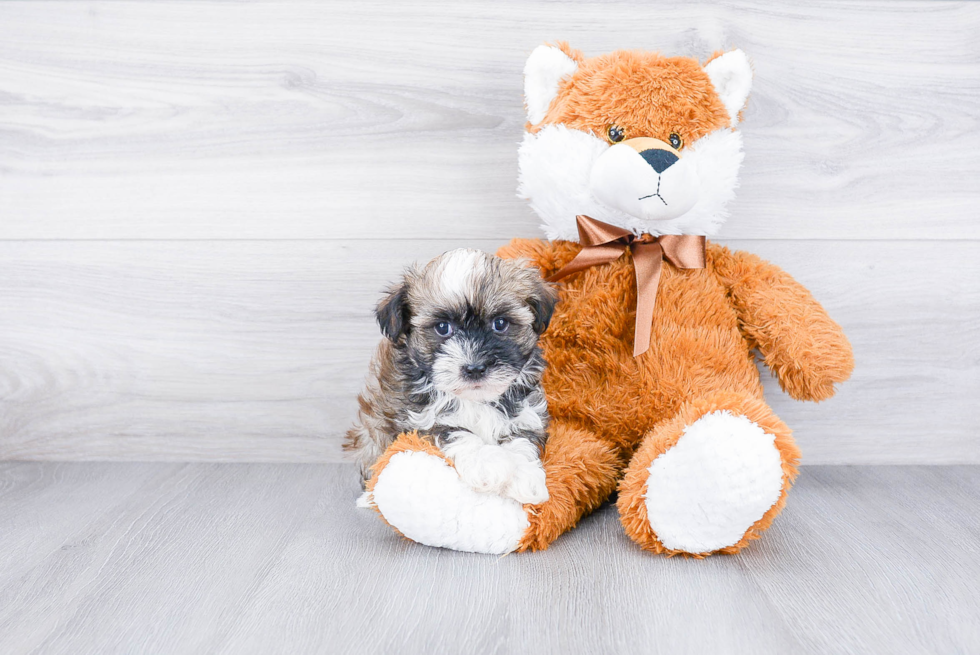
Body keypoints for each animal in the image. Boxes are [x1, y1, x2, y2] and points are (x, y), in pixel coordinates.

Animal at [346, 249, 560, 504]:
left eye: (500, 323)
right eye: (442, 327)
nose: (475, 368)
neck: (476, 400)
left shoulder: (527, 412)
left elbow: (522, 438)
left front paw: (524, 476)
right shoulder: (419, 421)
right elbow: (456, 431)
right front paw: (487, 465)